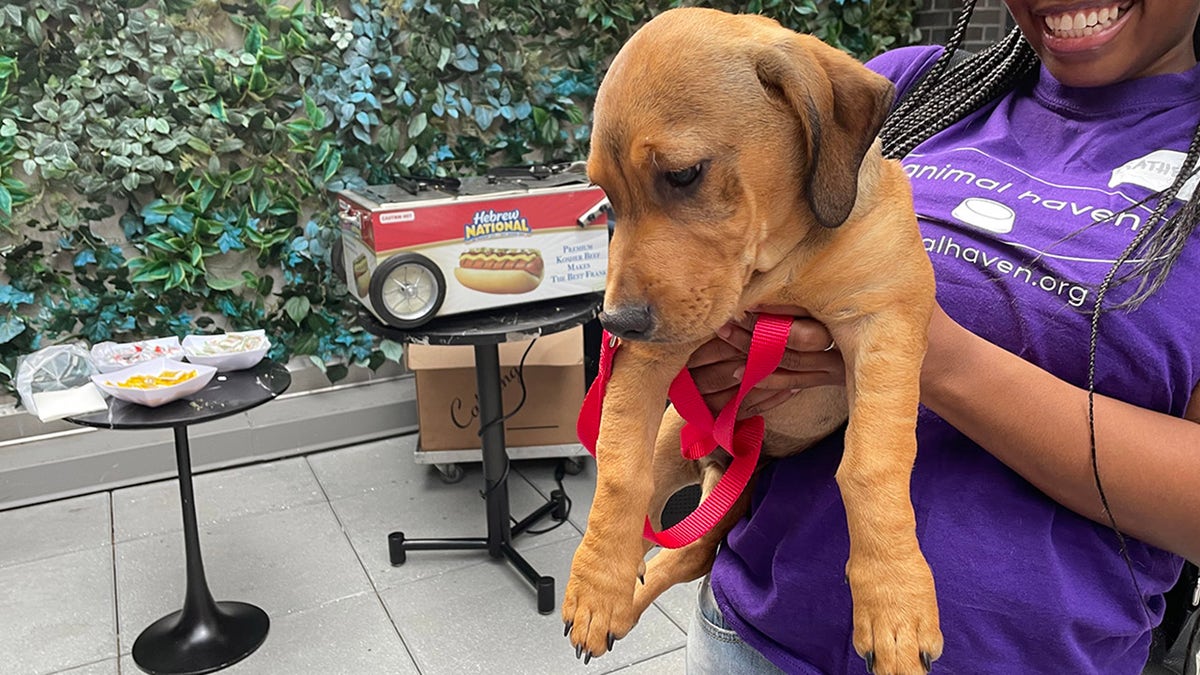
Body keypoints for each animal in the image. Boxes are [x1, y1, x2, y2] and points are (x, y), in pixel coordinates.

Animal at [564, 6, 945, 672]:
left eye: (683, 174)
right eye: (607, 196)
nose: (616, 325)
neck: (780, 273)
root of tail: (726, 457)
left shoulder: (887, 320)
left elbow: (872, 462)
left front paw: (895, 602)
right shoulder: (655, 354)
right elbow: (617, 470)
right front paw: (594, 588)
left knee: (690, 550)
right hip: (673, 438)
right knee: (660, 523)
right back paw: (613, 589)